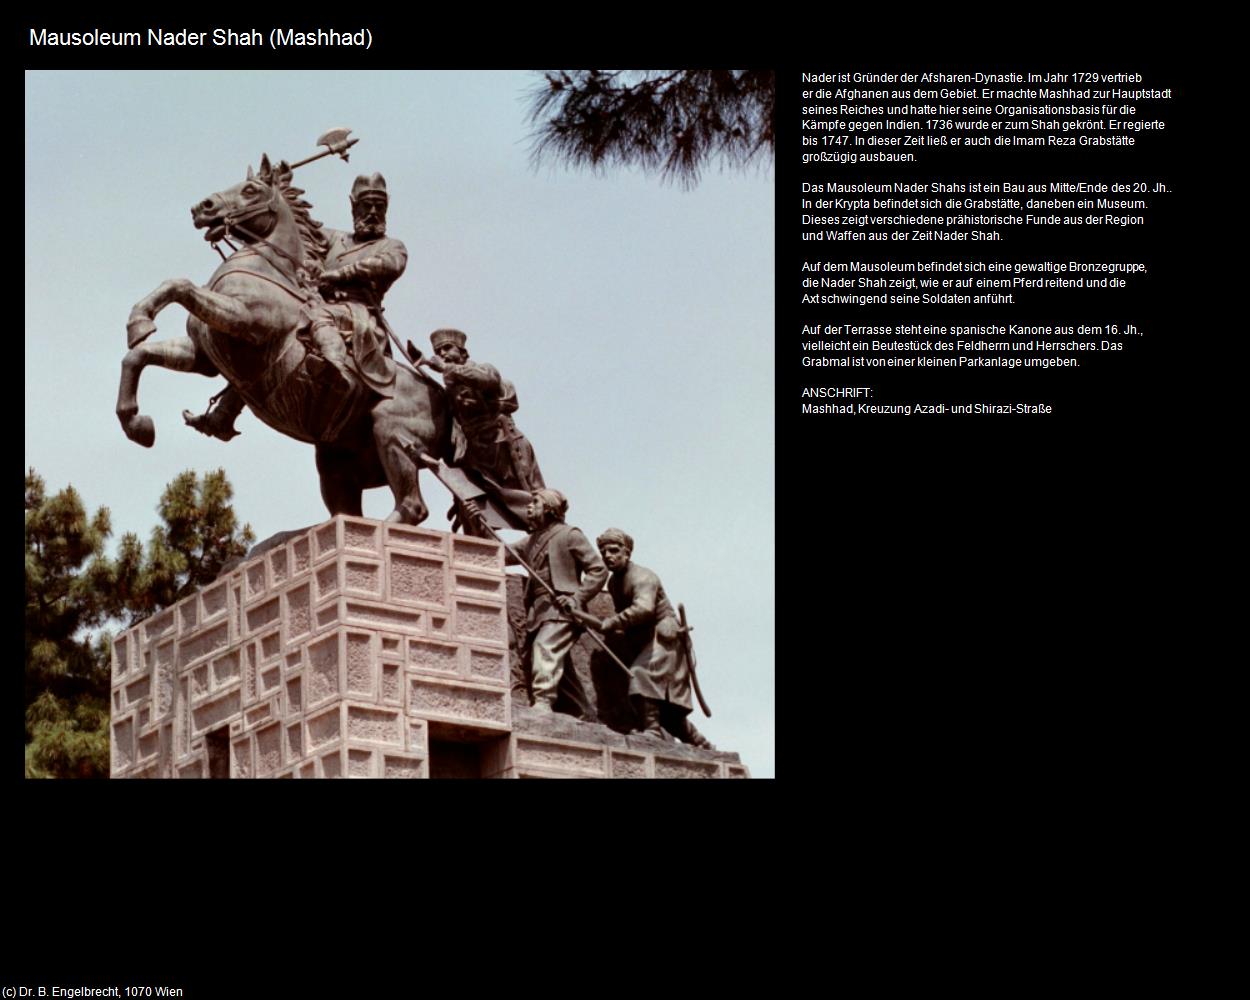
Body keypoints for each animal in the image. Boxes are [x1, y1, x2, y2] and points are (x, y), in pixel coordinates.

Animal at [117, 156, 447, 522]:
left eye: (250, 190)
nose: (202, 207)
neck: (266, 269)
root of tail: (439, 395)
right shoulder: (203, 356)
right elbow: (138, 355)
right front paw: (137, 423)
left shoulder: (242, 320)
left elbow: (181, 285)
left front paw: (140, 322)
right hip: (336, 460)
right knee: (348, 508)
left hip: (392, 434)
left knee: (412, 505)